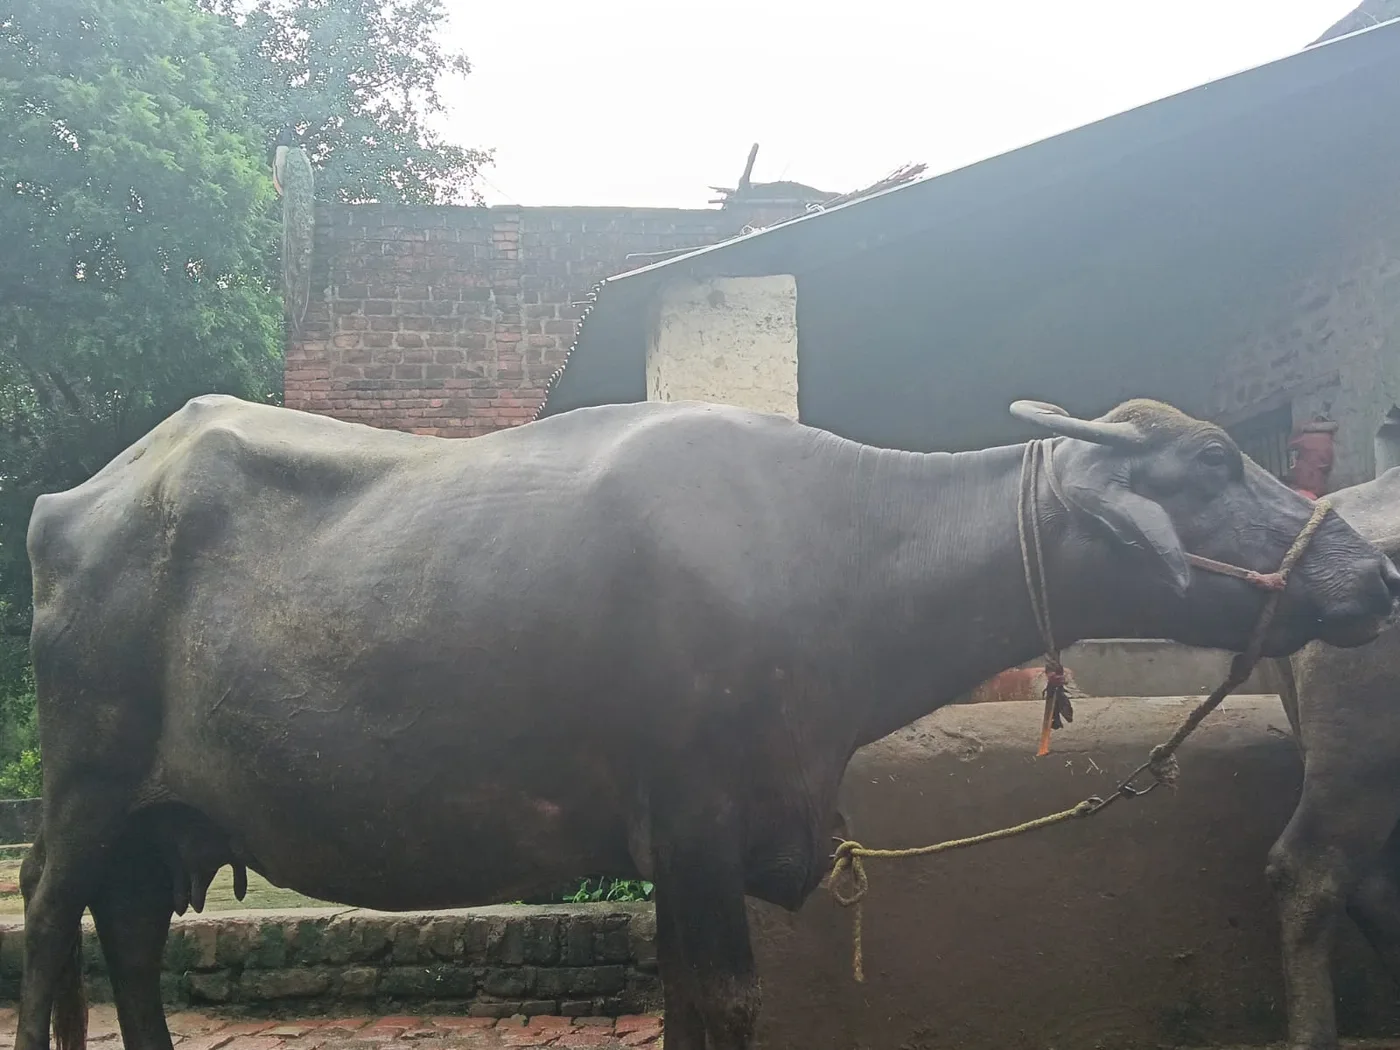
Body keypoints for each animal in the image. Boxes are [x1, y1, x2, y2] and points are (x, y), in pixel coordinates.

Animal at [18, 394, 1400, 1050]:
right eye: (1209, 465)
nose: (1370, 573)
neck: (833, 555)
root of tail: (72, 501)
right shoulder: (690, 821)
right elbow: (727, 1004)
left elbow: (689, 1002)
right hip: (84, 785)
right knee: (47, 920)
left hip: (154, 813)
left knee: (128, 933)